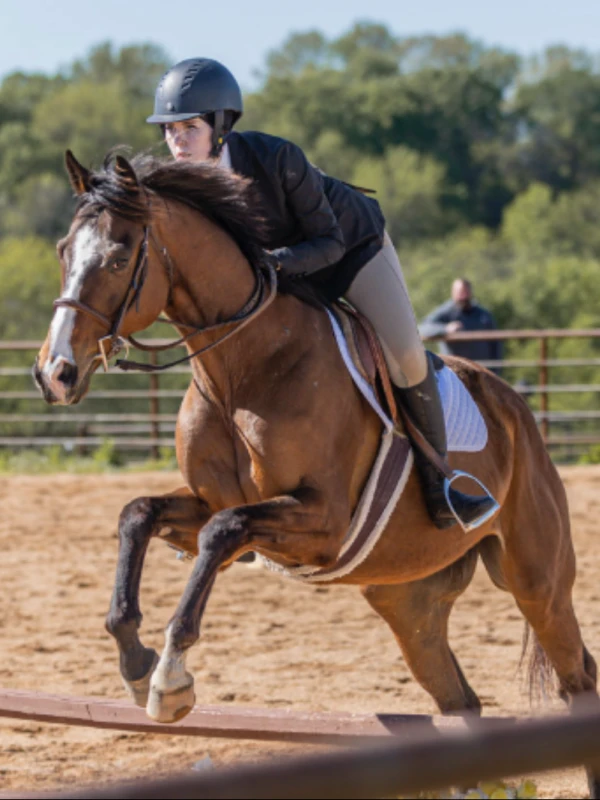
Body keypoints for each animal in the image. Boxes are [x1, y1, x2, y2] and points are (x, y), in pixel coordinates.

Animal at [34, 150, 600, 796]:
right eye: (63, 251)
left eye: (120, 256)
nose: (54, 374)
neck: (240, 367)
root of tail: (515, 410)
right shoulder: (211, 502)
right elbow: (140, 515)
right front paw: (135, 663)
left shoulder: (322, 520)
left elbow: (222, 531)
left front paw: (170, 680)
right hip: (408, 600)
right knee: (460, 701)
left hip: (536, 581)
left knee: (577, 678)